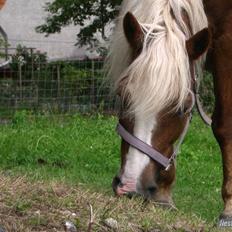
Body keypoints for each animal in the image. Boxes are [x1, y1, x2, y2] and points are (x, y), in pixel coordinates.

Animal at [106, 0, 232, 220]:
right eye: (123, 96)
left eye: (183, 108)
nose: (130, 186)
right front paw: (163, 194)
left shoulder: (226, 41)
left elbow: (224, 125)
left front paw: (229, 206)